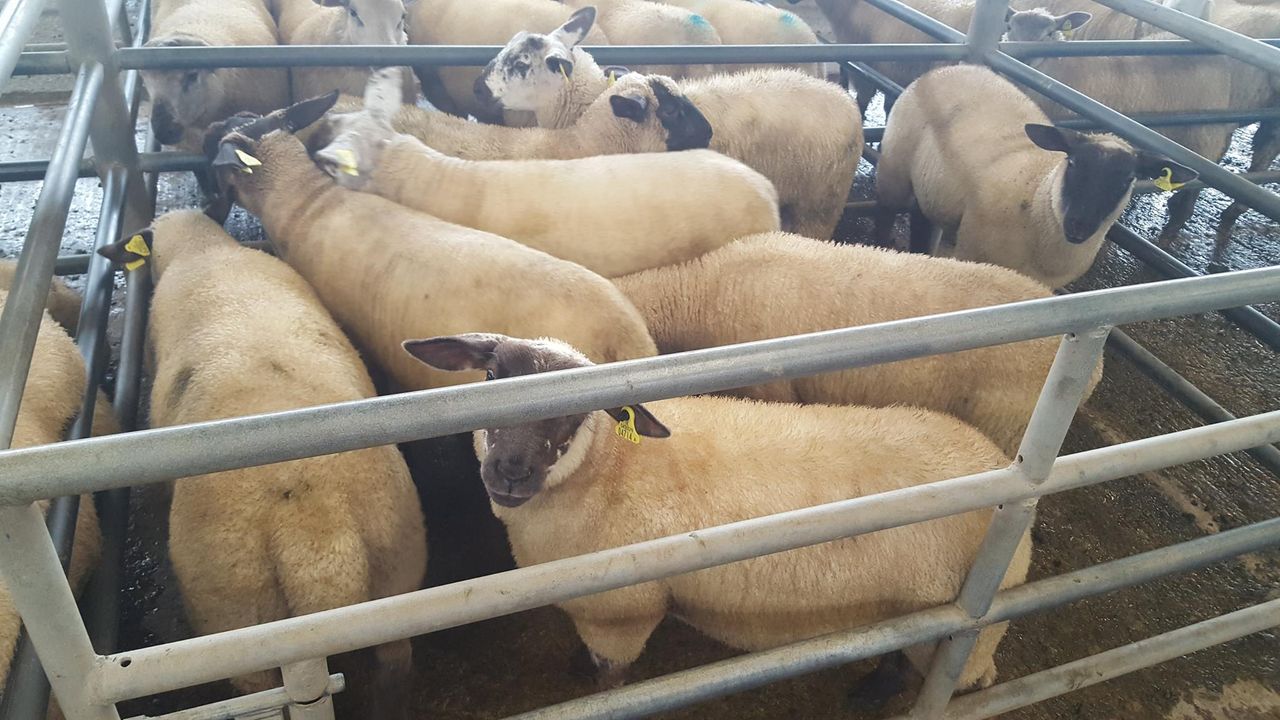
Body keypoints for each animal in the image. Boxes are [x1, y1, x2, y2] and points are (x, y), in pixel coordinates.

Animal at [402, 332, 1031, 699]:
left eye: (576, 413)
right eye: (490, 378)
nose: (511, 471)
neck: (608, 469)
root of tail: (1002, 464)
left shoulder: (622, 613)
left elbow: (612, 677)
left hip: (972, 634)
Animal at [876, 65, 1197, 288]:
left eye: (1127, 179)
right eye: (1073, 163)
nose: (1079, 226)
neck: (1038, 199)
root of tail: (954, 66)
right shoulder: (972, 254)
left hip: (934, 190)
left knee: (922, 215)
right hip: (894, 169)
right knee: (888, 210)